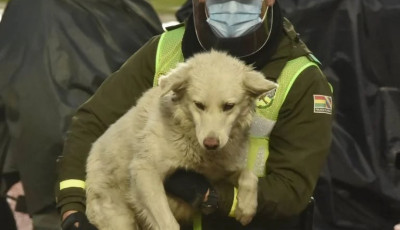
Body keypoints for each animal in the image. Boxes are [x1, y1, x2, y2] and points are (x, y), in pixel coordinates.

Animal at [85, 50, 276, 230]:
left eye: (229, 106)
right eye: (199, 105)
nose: (211, 144)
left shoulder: (219, 174)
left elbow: (249, 175)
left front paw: (246, 207)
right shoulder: (145, 171)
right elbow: (169, 224)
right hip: (119, 218)